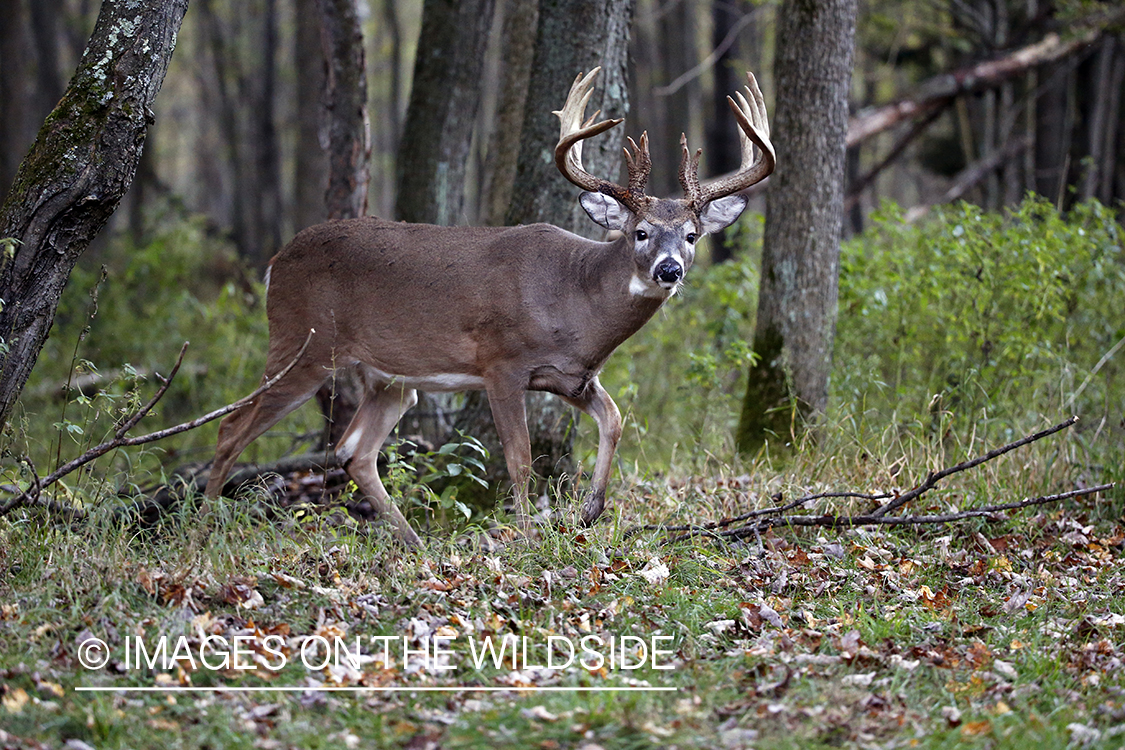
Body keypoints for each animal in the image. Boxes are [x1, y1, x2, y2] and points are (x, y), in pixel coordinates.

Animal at [204, 67, 774, 546]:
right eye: (640, 232)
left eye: (693, 235)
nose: (669, 270)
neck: (576, 299)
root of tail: (275, 262)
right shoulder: (502, 363)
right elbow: (520, 459)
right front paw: (525, 536)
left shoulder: (572, 378)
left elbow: (614, 420)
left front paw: (589, 510)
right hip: (303, 341)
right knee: (231, 429)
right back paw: (202, 528)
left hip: (391, 380)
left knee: (353, 452)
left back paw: (412, 543)